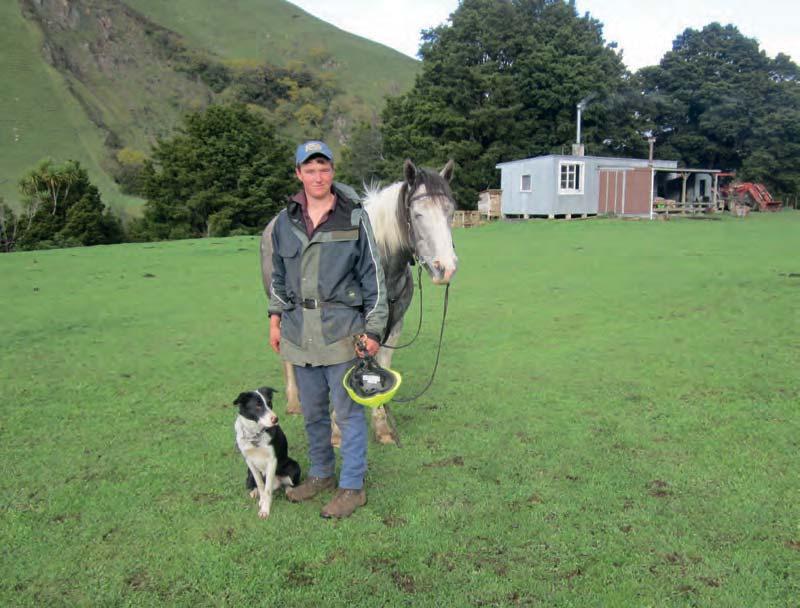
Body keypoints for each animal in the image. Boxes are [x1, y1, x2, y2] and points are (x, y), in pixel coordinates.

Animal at [234, 387, 301, 519]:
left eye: (269, 403)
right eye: (258, 406)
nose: (276, 419)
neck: (255, 434)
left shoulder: (272, 460)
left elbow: (267, 489)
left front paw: (265, 509)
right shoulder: (249, 461)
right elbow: (260, 485)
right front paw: (262, 501)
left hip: (294, 467)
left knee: (287, 484)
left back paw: (290, 491)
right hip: (249, 474)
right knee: (254, 485)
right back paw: (254, 493)